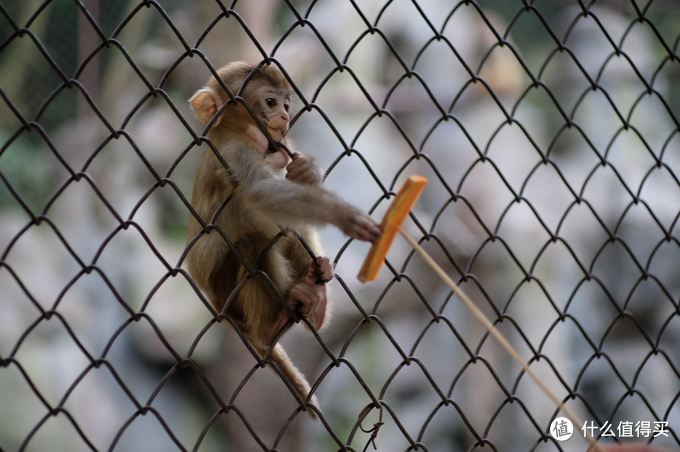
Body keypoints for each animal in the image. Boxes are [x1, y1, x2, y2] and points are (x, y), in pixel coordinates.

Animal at [183, 61, 380, 418]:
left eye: (287, 104)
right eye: (271, 102)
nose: (286, 116)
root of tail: (220, 309)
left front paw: (308, 171)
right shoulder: (231, 153)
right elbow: (262, 192)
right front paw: (343, 213)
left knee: (292, 231)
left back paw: (317, 296)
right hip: (228, 293)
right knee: (256, 246)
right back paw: (270, 326)